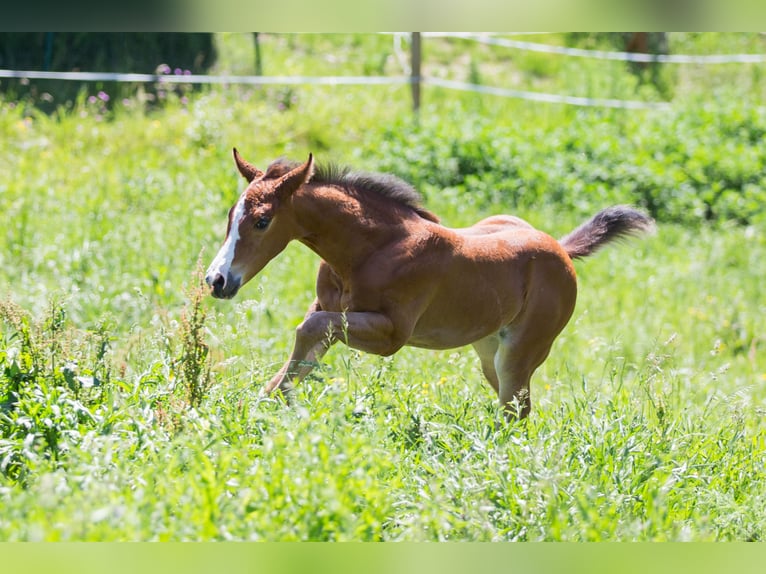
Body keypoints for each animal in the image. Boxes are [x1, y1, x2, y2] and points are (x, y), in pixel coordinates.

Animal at [205, 149, 654, 419]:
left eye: (262, 221)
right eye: (230, 215)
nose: (217, 280)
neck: (370, 249)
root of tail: (560, 249)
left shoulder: (391, 334)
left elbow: (308, 331)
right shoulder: (331, 310)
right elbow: (308, 343)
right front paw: (261, 403)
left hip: (522, 351)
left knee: (516, 409)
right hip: (488, 349)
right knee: (512, 403)